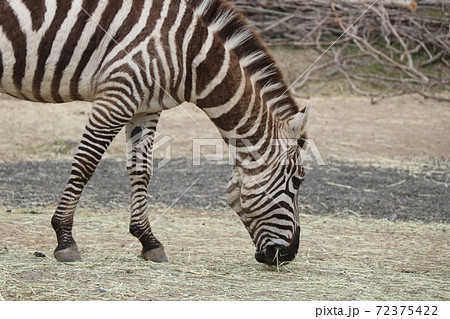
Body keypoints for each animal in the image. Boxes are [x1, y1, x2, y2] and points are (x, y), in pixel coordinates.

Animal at [0, 0, 310, 266]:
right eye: (297, 181)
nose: (290, 255)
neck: (189, 54)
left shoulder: (145, 107)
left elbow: (141, 169)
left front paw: (148, 240)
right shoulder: (116, 96)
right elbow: (86, 163)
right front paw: (64, 238)